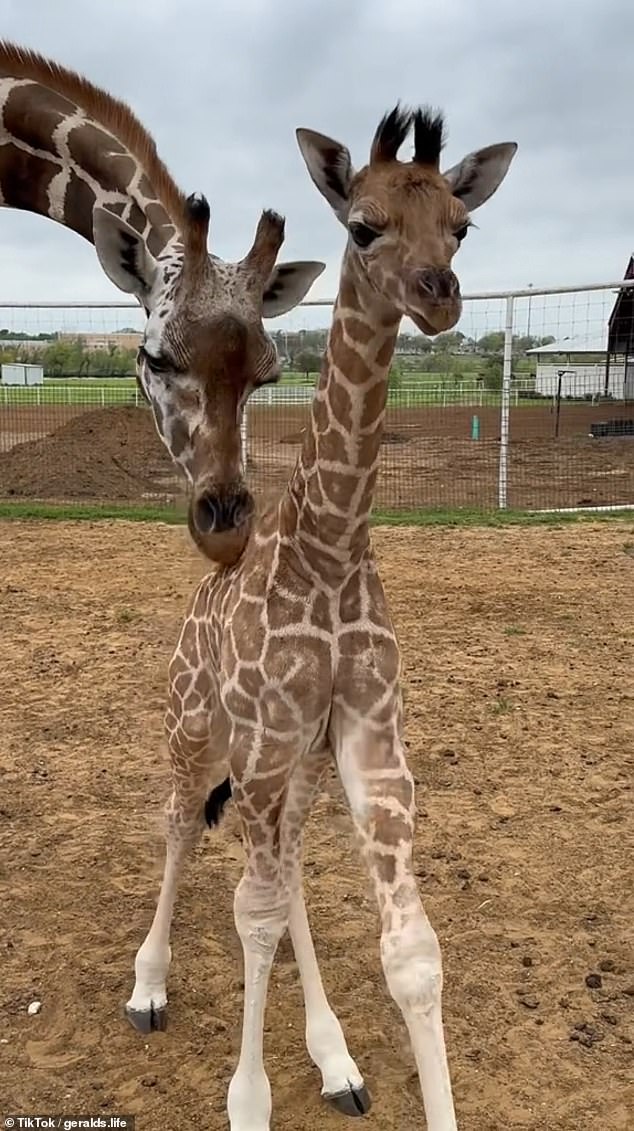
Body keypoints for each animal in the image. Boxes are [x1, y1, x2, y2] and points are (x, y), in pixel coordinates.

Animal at [127, 106, 515, 1131]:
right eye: (363, 226)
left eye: (461, 226)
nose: (438, 295)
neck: (330, 549)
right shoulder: (262, 742)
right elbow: (251, 915)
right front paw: (248, 1099)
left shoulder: (370, 739)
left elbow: (410, 950)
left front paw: (332, 1057)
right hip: (194, 728)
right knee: (181, 826)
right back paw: (147, 984)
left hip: (291, 766)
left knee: (287, 864)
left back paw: (333, 1051)